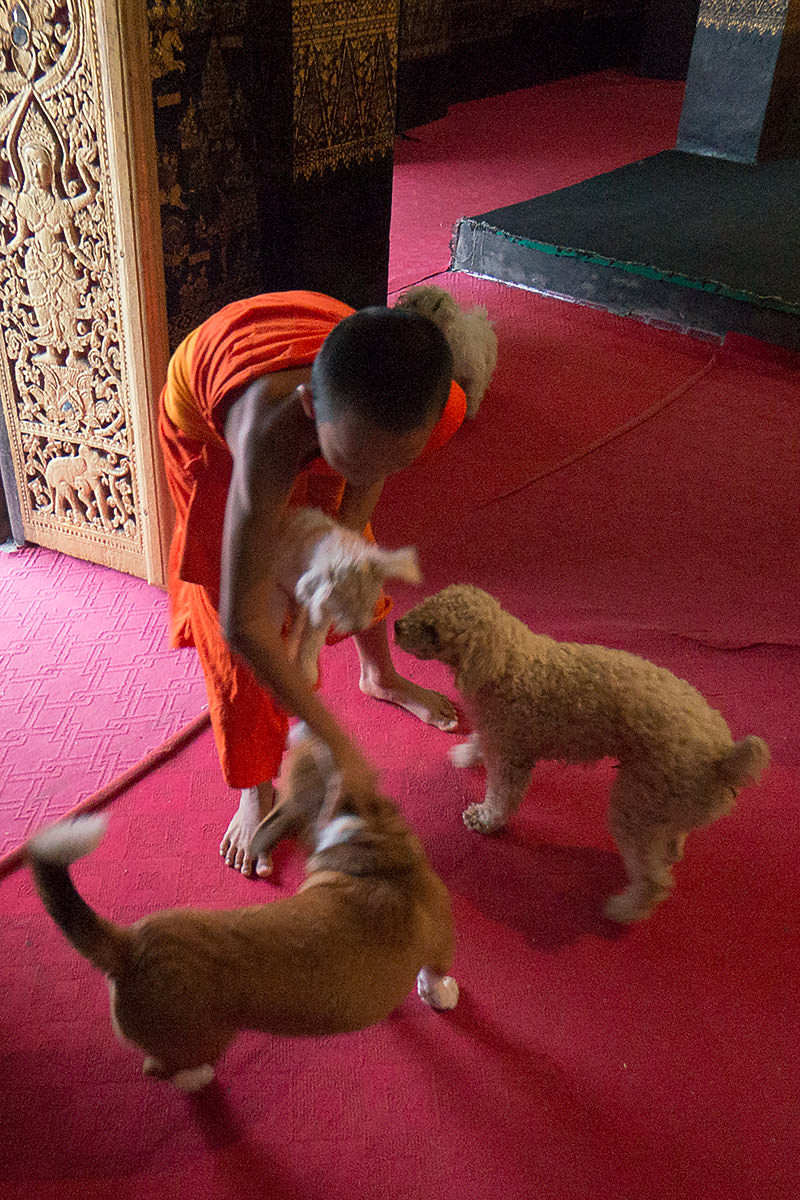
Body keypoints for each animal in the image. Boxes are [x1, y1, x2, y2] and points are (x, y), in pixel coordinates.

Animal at [28, 724, 460, 1094]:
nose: (297, 725)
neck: (365, 844)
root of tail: (129, 946)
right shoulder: (440, 947)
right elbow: (434, 978)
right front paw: (443, 995)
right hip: (197, 1044)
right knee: (163, 1068)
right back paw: (198, 1079)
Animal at [272, 506, 422, 686]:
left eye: (369, 601)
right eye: (345, 602)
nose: (358, 627)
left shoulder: (323, 610)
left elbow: (313, 637)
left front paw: (307, 670)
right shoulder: (279, 586)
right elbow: (279, 614)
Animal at [393, 585, 767, 921]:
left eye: (433, 630)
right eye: (428, 601)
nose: (395, 625)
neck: (509, 661)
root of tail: (724, 759)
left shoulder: (511, 755)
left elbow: (501, 797)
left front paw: (485, 819)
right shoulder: (497, 734)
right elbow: (478, 742)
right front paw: (465, 756)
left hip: (636, 806)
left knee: (654, 881)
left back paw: (623, 910)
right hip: (664, 805)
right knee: (674, 837)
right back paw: (670, 851)